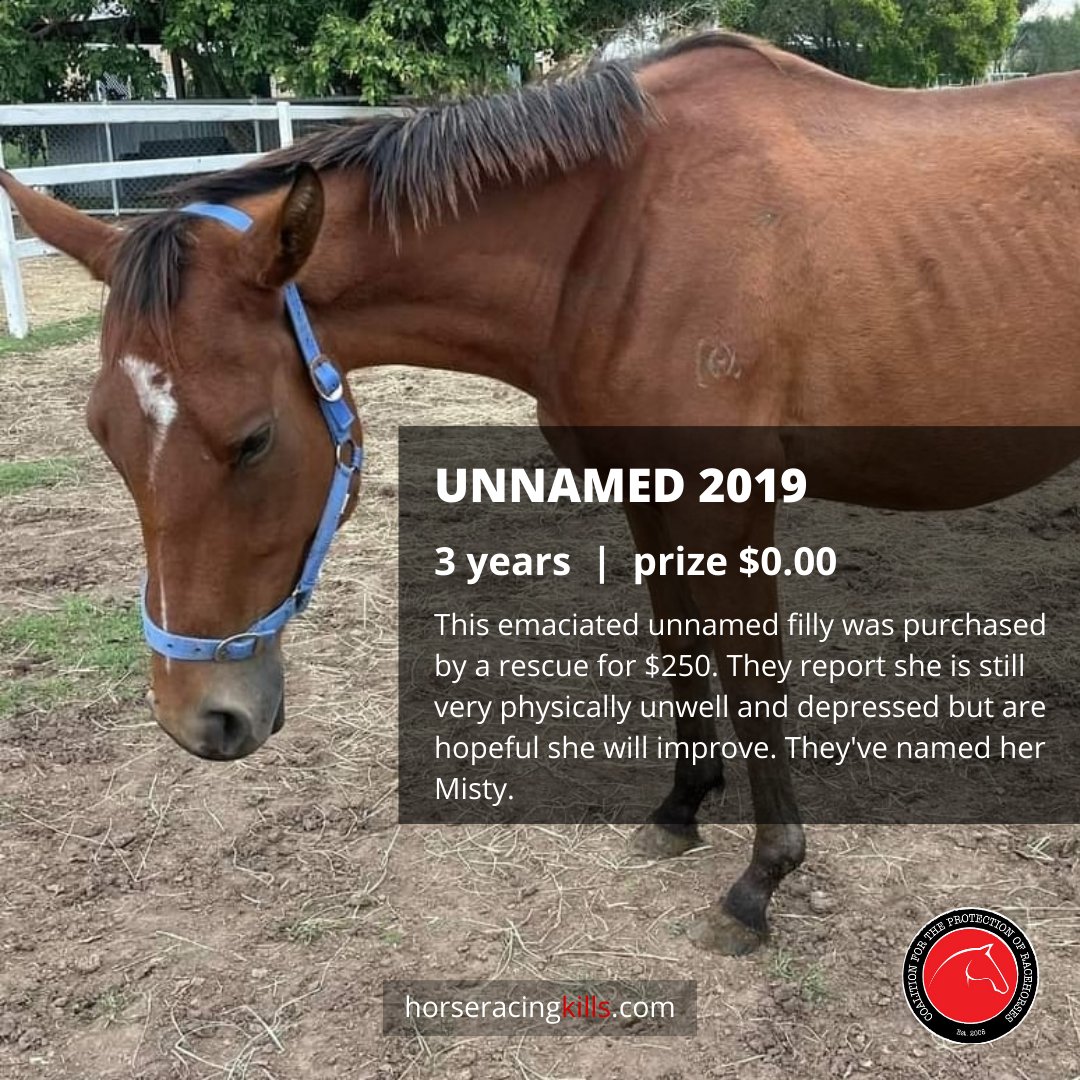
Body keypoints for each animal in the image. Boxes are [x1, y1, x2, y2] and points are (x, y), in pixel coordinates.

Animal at [5, 31, 1080, 956]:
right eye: (103, 435)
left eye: (254, 439)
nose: (201, 719)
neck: (618, 231)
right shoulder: (650, 494)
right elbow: (682, 652)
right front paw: (682, 809)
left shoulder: (727, 504)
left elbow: (749, 673)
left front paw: (760, 882)